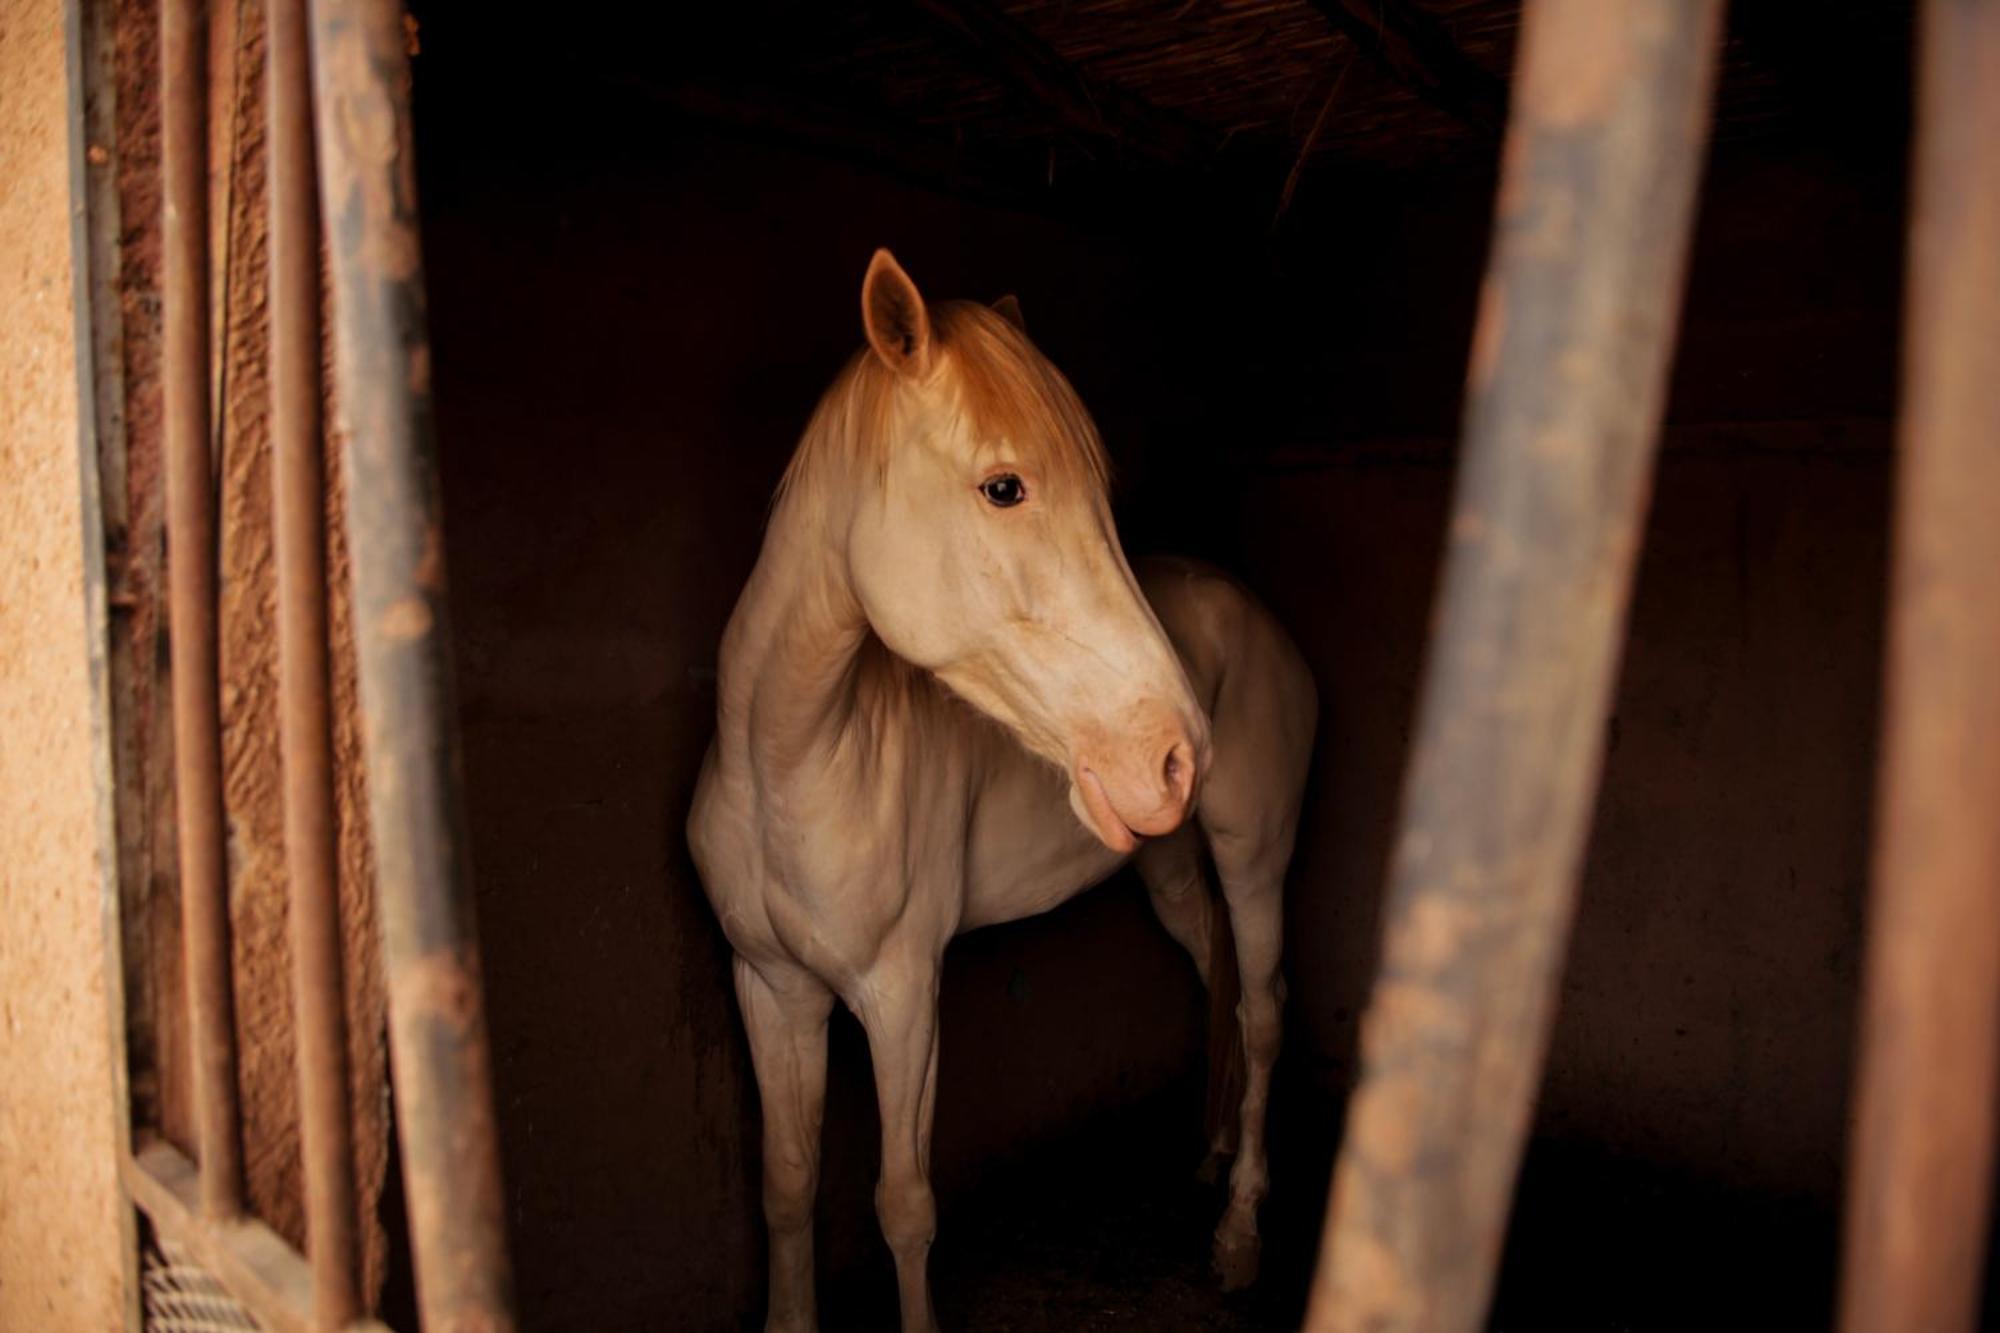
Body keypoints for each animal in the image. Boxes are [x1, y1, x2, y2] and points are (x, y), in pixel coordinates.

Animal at [696, 252, 1320, 1328]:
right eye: (1003, 487)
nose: (1179, 752)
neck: (789, 765)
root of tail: (1259, 620)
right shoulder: (770, 988)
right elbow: (785, 1185)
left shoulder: (902, 992)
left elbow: (903, 1203)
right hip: (1170, 870)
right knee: (1221, 981)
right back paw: (1206, 1158)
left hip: (1253, 856)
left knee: (1266, 1008)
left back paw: (1237, 1233)